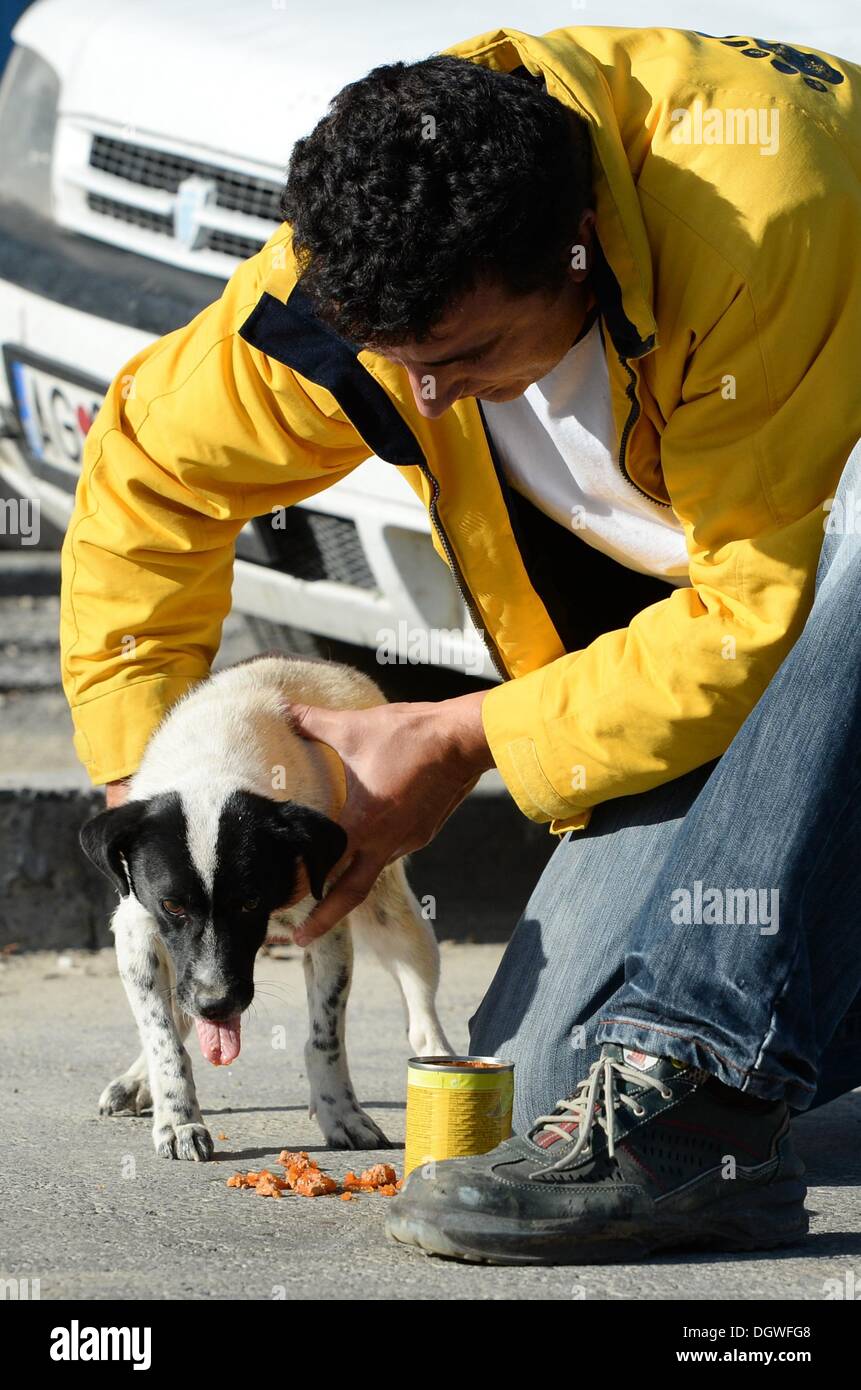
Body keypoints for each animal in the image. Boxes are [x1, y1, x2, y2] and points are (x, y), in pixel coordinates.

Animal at [81, 656, 453, 1156]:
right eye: (172, 905)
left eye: (250, 902)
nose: (217, 1004)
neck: (214, 764)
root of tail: (334, 667)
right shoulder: (138, 930)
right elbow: (164, 1037)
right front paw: (178, 1119)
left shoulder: (327, 930)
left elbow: (325, 1038)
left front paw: (341, 1113)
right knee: (176, 1015)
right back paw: (141, 1078)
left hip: (395, 918)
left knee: (421, 1010)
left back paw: (442, 1068)